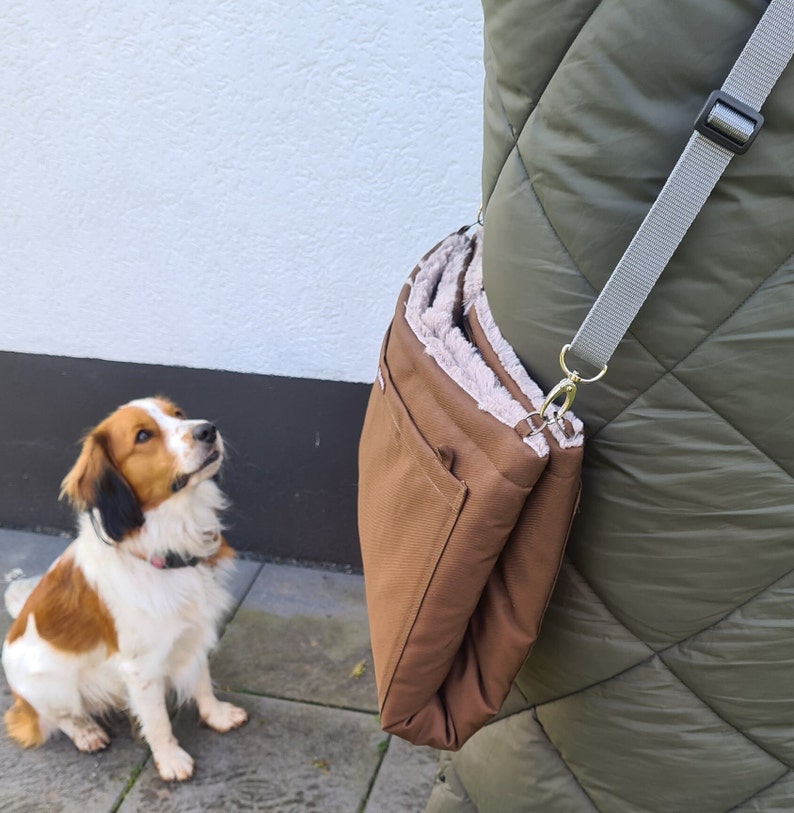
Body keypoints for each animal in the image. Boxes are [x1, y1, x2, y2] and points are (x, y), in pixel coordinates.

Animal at [1, 398, 246, 780]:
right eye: (143, 436)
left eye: (177, 414)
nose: (208, 430)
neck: (165, 546)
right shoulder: (140, 670)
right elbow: (158, 721)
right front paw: (171, 759)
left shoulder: (193, 631)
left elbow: (201, 680)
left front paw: (216, 715)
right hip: (49, 685)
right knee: (52, 717)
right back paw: (86, 732)